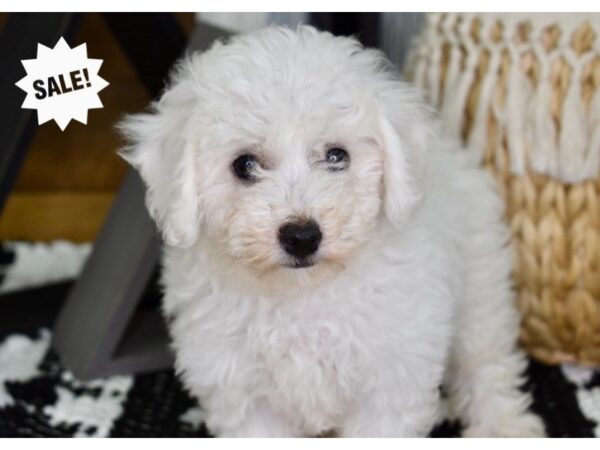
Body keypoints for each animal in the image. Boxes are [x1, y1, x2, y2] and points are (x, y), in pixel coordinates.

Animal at [119, 24, 548, 436]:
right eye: (244, 165)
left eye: (337, 156)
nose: (301, 236)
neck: (302, 297)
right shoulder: (242, 393)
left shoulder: (388, 383)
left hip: (479, 285)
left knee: (486, 362)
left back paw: (505, 428)